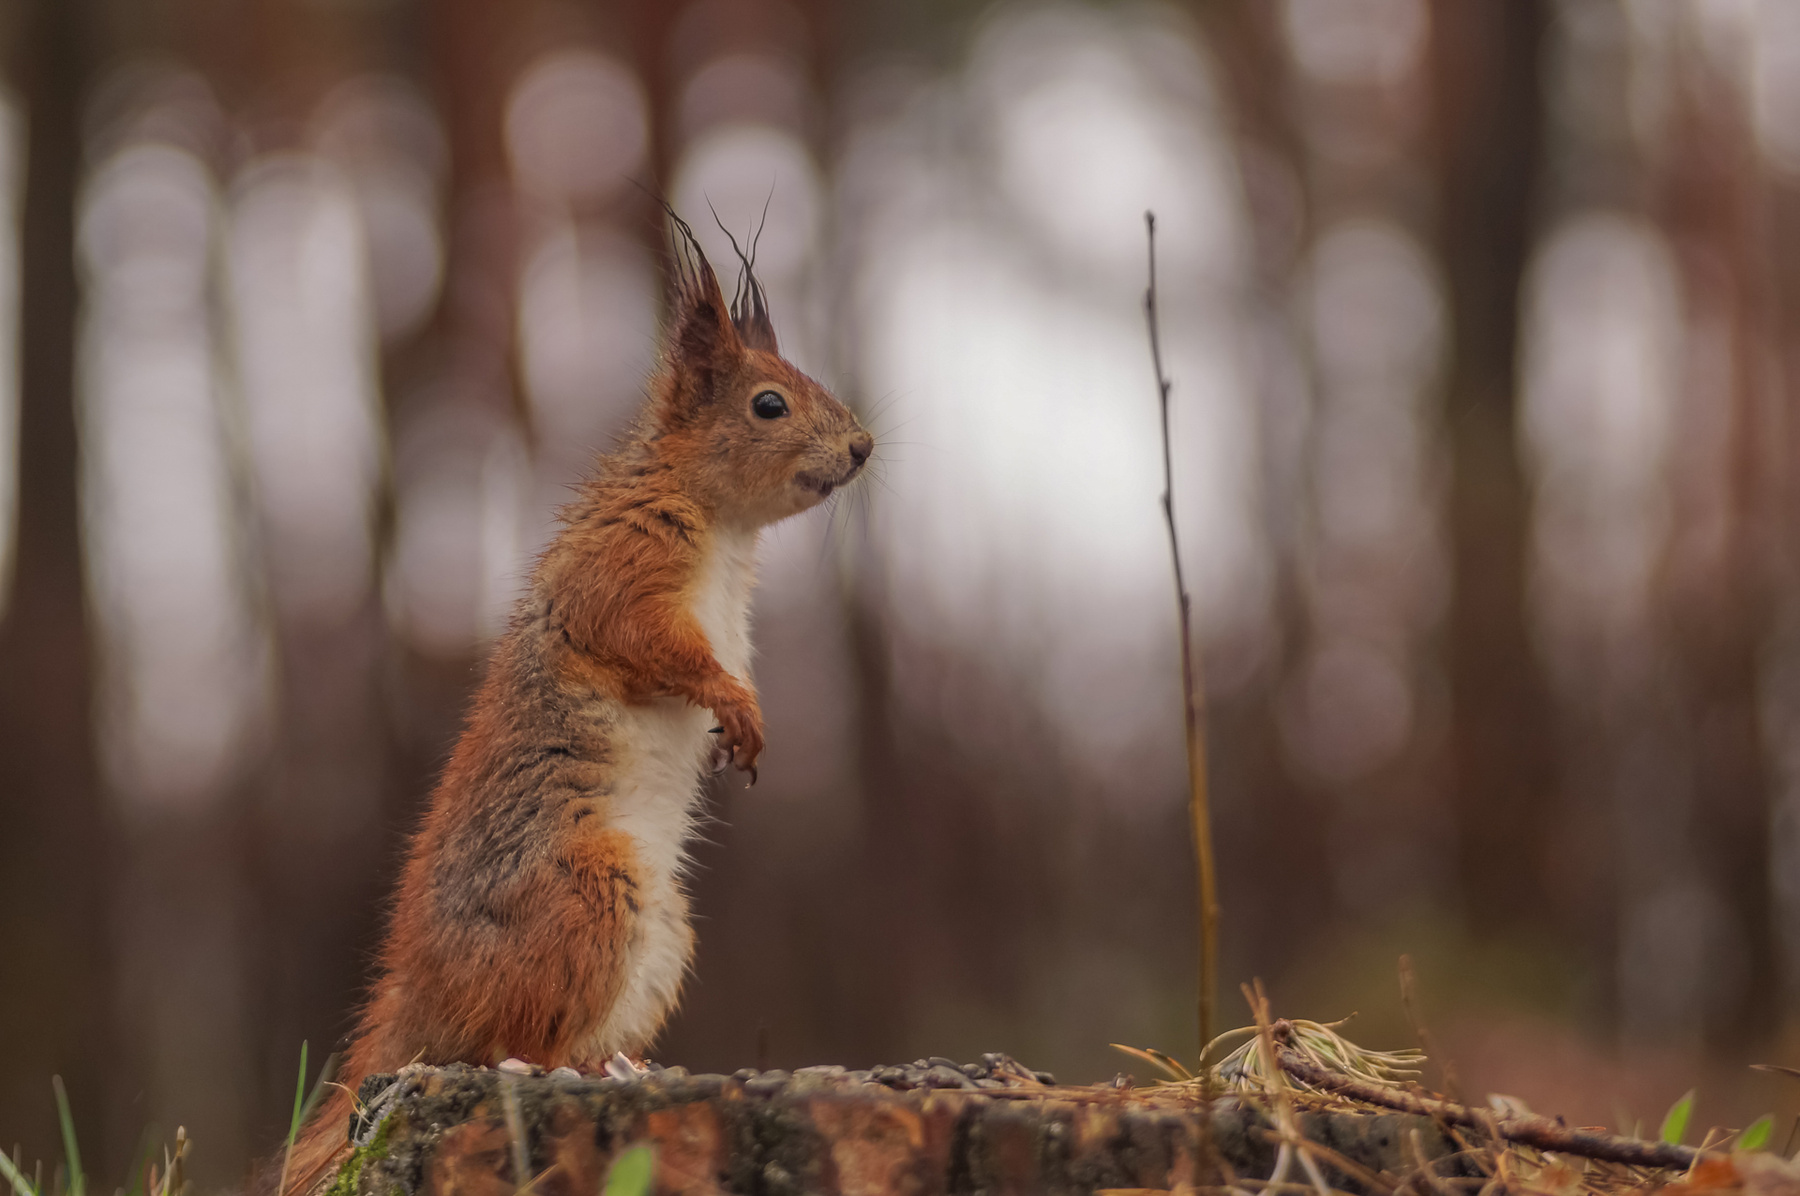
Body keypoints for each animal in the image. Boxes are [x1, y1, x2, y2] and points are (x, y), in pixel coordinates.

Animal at [271, 212, 872, 1194]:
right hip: (590, 892)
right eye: (769, 404)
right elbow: (651, 645)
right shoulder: (621, 573)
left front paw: (739, 724)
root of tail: (423, 990)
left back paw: (618, 1064)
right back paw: (563, 1065)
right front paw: (735, 709)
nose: (863, 448)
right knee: (508, 1040)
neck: (721, 526)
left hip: (662, 930)